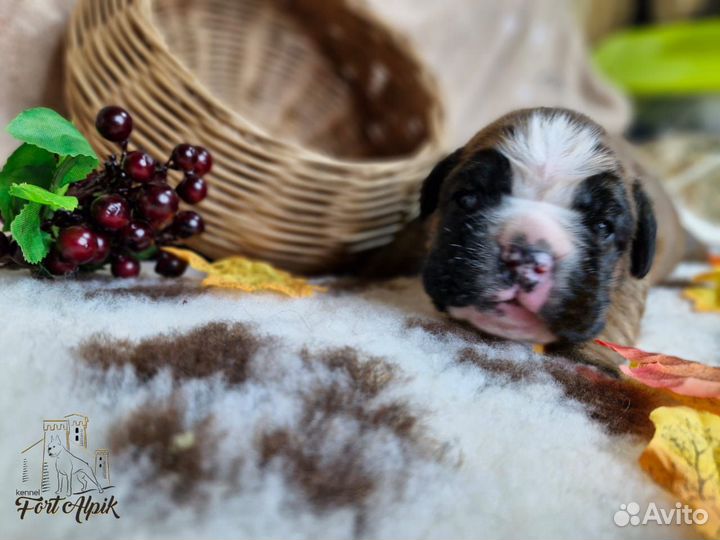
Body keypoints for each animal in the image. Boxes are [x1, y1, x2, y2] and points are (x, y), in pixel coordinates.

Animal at [420, 109, 668, 372]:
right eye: (468, 199)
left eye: (603, 226)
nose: (525, 255)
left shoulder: (633, 285)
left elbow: (616, 318)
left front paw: (592, 357)